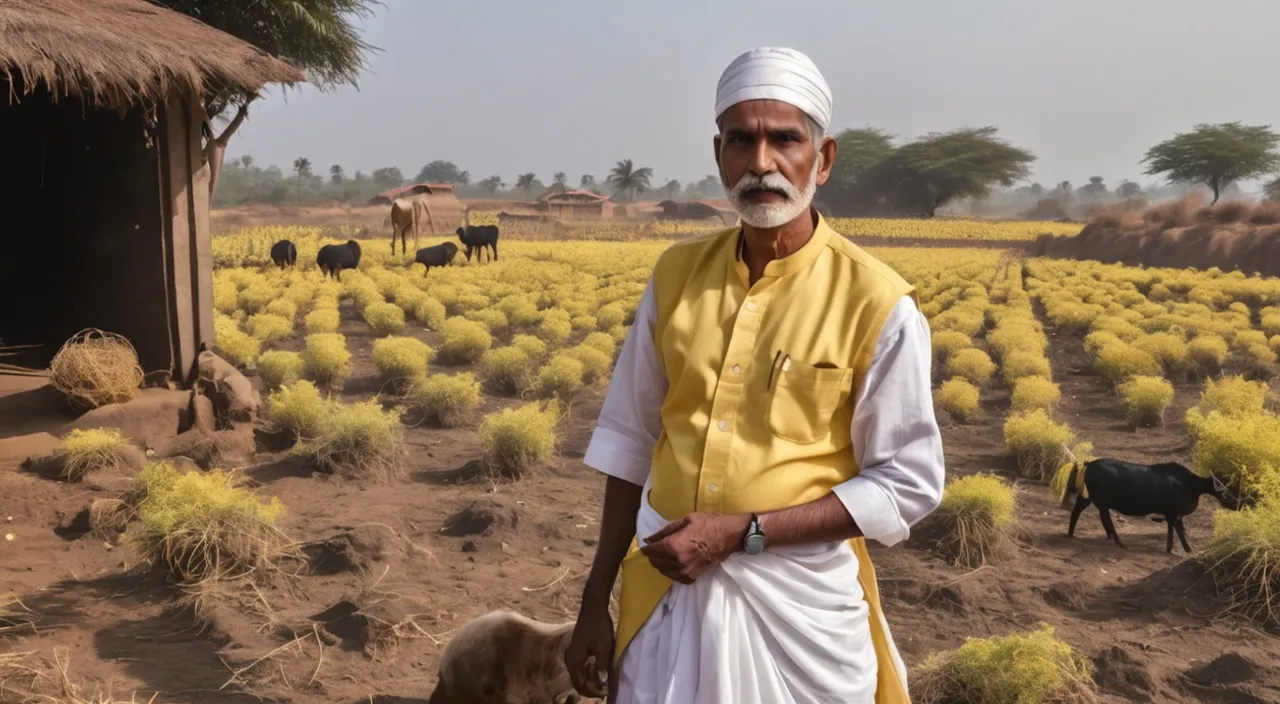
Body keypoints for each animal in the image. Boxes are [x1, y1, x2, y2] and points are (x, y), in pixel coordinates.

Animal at [1059, 460, 1239, 555]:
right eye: (1226, 491)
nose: (1237, 504)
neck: (1192, 485)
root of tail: (1089, 463)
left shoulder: (1171, 515)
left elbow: (1171, 531)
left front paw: (1170, 548)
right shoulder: (1175, 514)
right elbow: (1180, 532)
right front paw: (1188, 550)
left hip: (1089, 497)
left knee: (1078, 511)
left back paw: (1072, 534)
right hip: (1101, 501)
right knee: (1106, 519)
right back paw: (1120, 543)